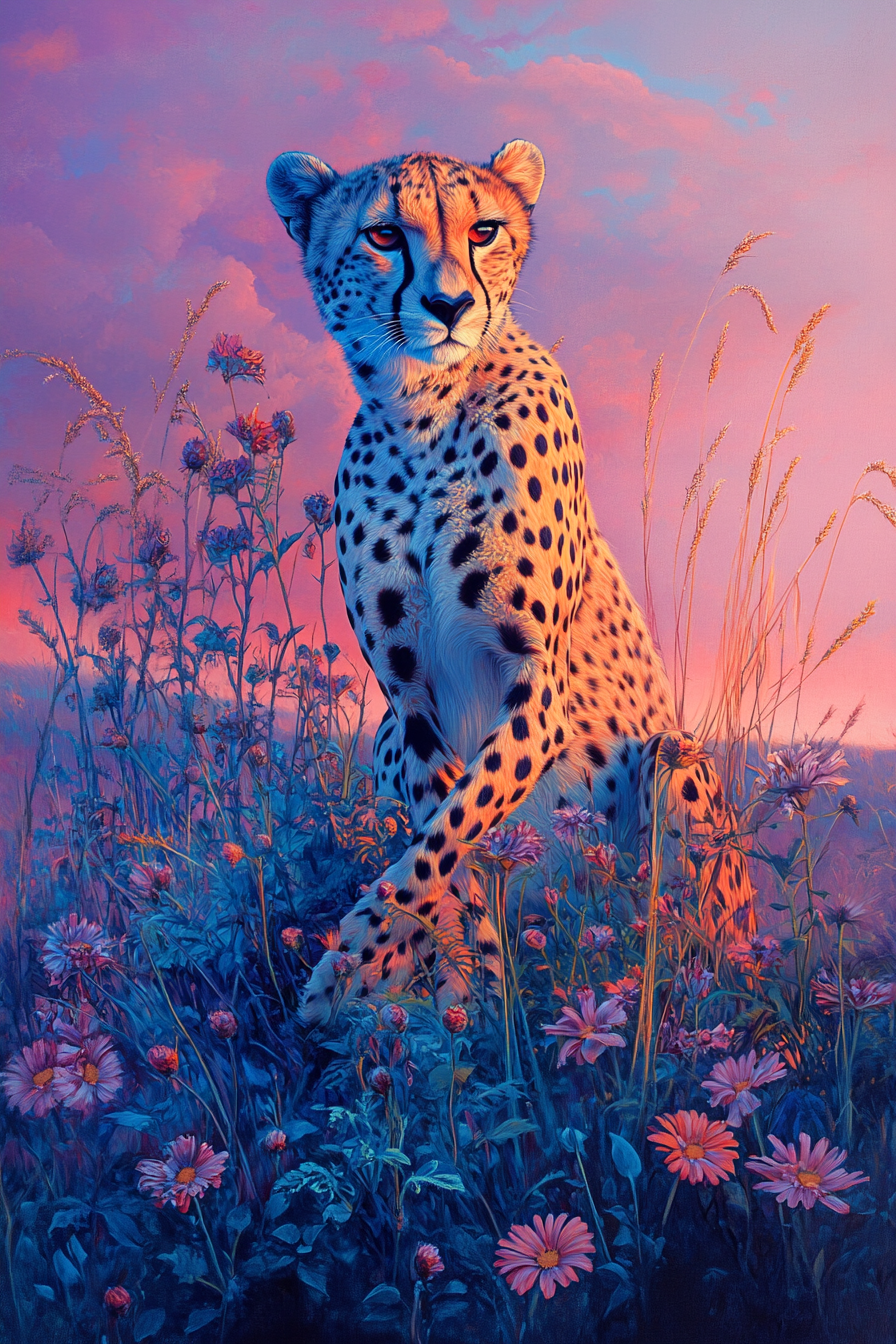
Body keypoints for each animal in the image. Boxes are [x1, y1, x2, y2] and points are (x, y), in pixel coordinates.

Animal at [266, 139, 755, 1024]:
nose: (451, 303)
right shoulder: (408, 701)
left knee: (695, 952)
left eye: (484, 229)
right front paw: (467, 992)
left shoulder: (536, 693)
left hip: (675, 772)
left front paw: (347, 966)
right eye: (384, 235)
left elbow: (450, 837)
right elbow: (446, 853)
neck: (422, 413)